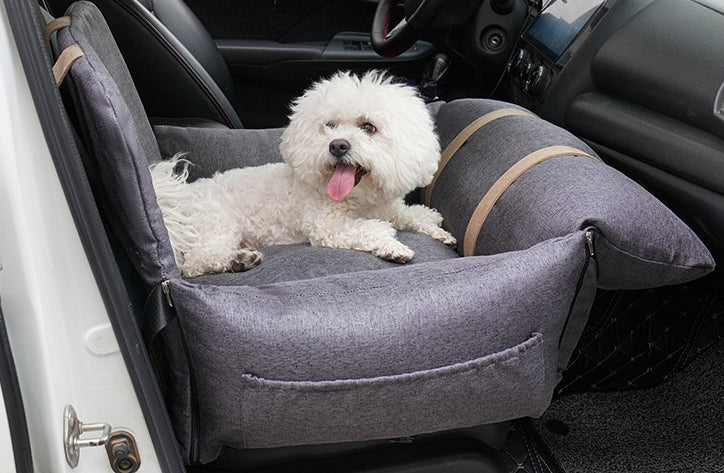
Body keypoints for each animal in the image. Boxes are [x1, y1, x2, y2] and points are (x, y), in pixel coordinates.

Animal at [150, 70, 456, 276]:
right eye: (329, 126)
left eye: (368, 127)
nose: (337, 145)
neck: (358, 200)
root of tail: (175, 200)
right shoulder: (328, 227)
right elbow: (370, 229)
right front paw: (393, 248)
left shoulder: (387, 208)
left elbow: (412, 214)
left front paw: (438, 231)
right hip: (215, 224)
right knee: (195, 262)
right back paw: (236, 260)